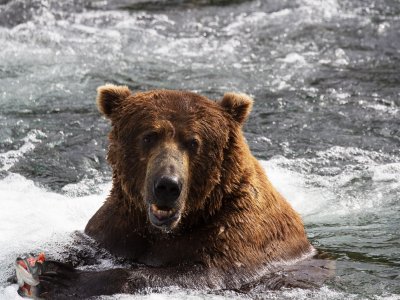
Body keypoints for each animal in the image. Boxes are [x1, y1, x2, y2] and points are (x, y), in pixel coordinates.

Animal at [38, 85, 318, 298]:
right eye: (149, 136)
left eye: (193, 142)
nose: (167, 186)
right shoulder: (117, 226)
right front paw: (47, 266)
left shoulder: (240, 235)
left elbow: (201, 274)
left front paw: (65, 280)